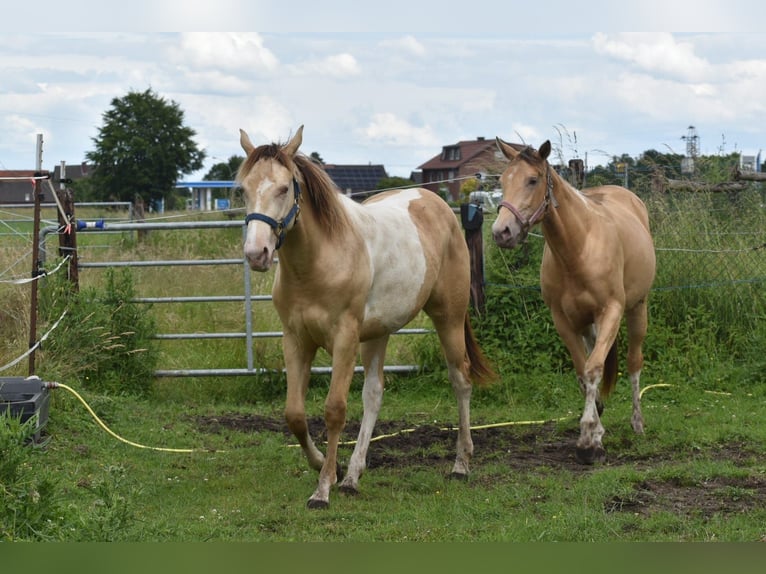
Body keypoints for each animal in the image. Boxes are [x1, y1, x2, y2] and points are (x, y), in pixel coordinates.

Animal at [237, 125, 494, 508]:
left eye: (284, 188)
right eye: (244, 189)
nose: (257, 254)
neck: (320, 260)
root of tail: (437, 204)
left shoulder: (344, 339)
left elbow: (334, 410)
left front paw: (322, 489)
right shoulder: (296, 339)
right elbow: (295, 414)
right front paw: (328, 468)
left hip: (448, 317)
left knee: (460, 380)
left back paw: (461, 464)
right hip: (377, 333)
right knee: (374, 393)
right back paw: (353, 476)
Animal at [491, 138, 656, 464]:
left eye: (533, 180)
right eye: (502, 181)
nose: (501, 232)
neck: (578, 247)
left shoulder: (611, 312)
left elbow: (593, 369)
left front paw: (589, 441)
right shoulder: (563, 320)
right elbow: (583, 372)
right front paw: (595, 429)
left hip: (636, 309)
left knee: (633, 363)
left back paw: (638, 423)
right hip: (588, 324)